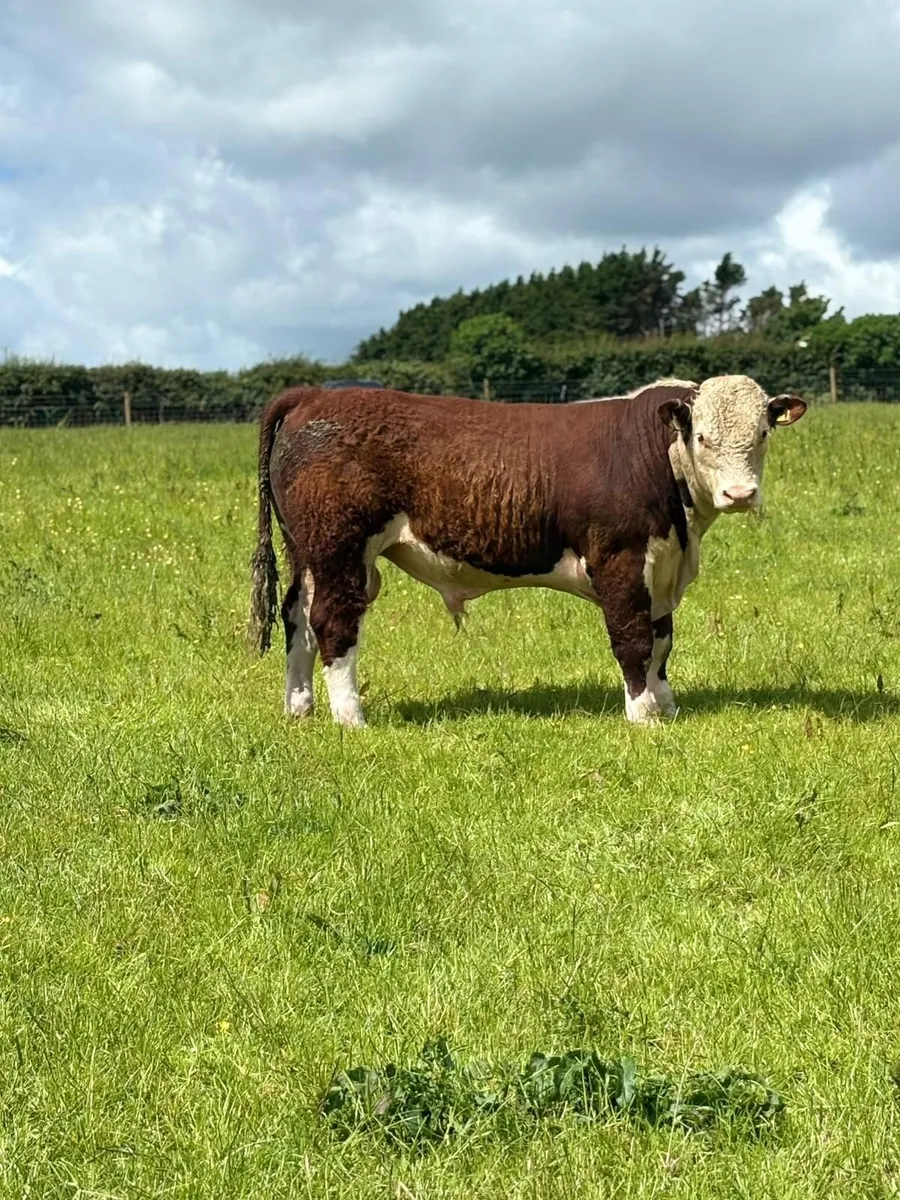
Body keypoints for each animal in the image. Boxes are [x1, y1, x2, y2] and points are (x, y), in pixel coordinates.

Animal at [248, 375, 807, 727]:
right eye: (703, 437)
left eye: (762, 433)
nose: (740, 494)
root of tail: (313, 395)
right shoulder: (620, 560)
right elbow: (633, 640)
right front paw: (642, 715)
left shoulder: (661, 564)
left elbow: (662, 640)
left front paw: (665, 706)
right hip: (340, 548)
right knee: (333, 622)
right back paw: (351, 717)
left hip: (309, 552)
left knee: (297, 617)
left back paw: (299, 707)